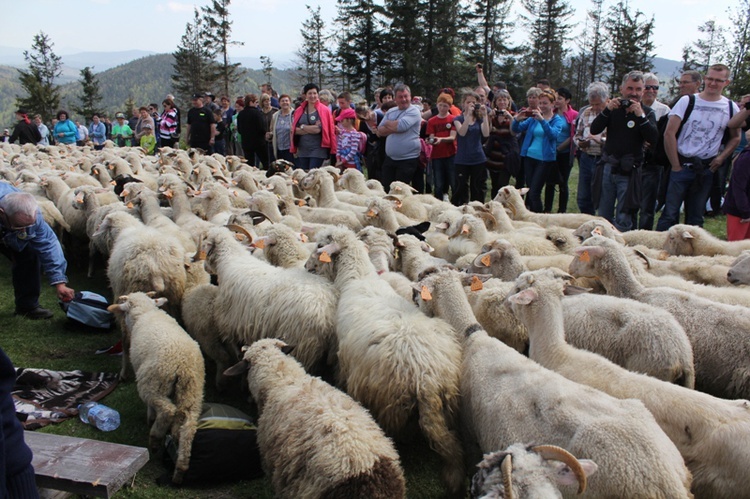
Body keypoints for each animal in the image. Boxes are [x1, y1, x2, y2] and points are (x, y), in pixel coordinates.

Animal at [107, 292, 204, 484]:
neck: (146, 312)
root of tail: (182, 364)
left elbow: (151, 409)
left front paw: (150, 419)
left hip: (153, 384)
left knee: (167, 410)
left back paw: (155, 439)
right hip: (193, 390)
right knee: (189, 425)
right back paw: (180, 470)